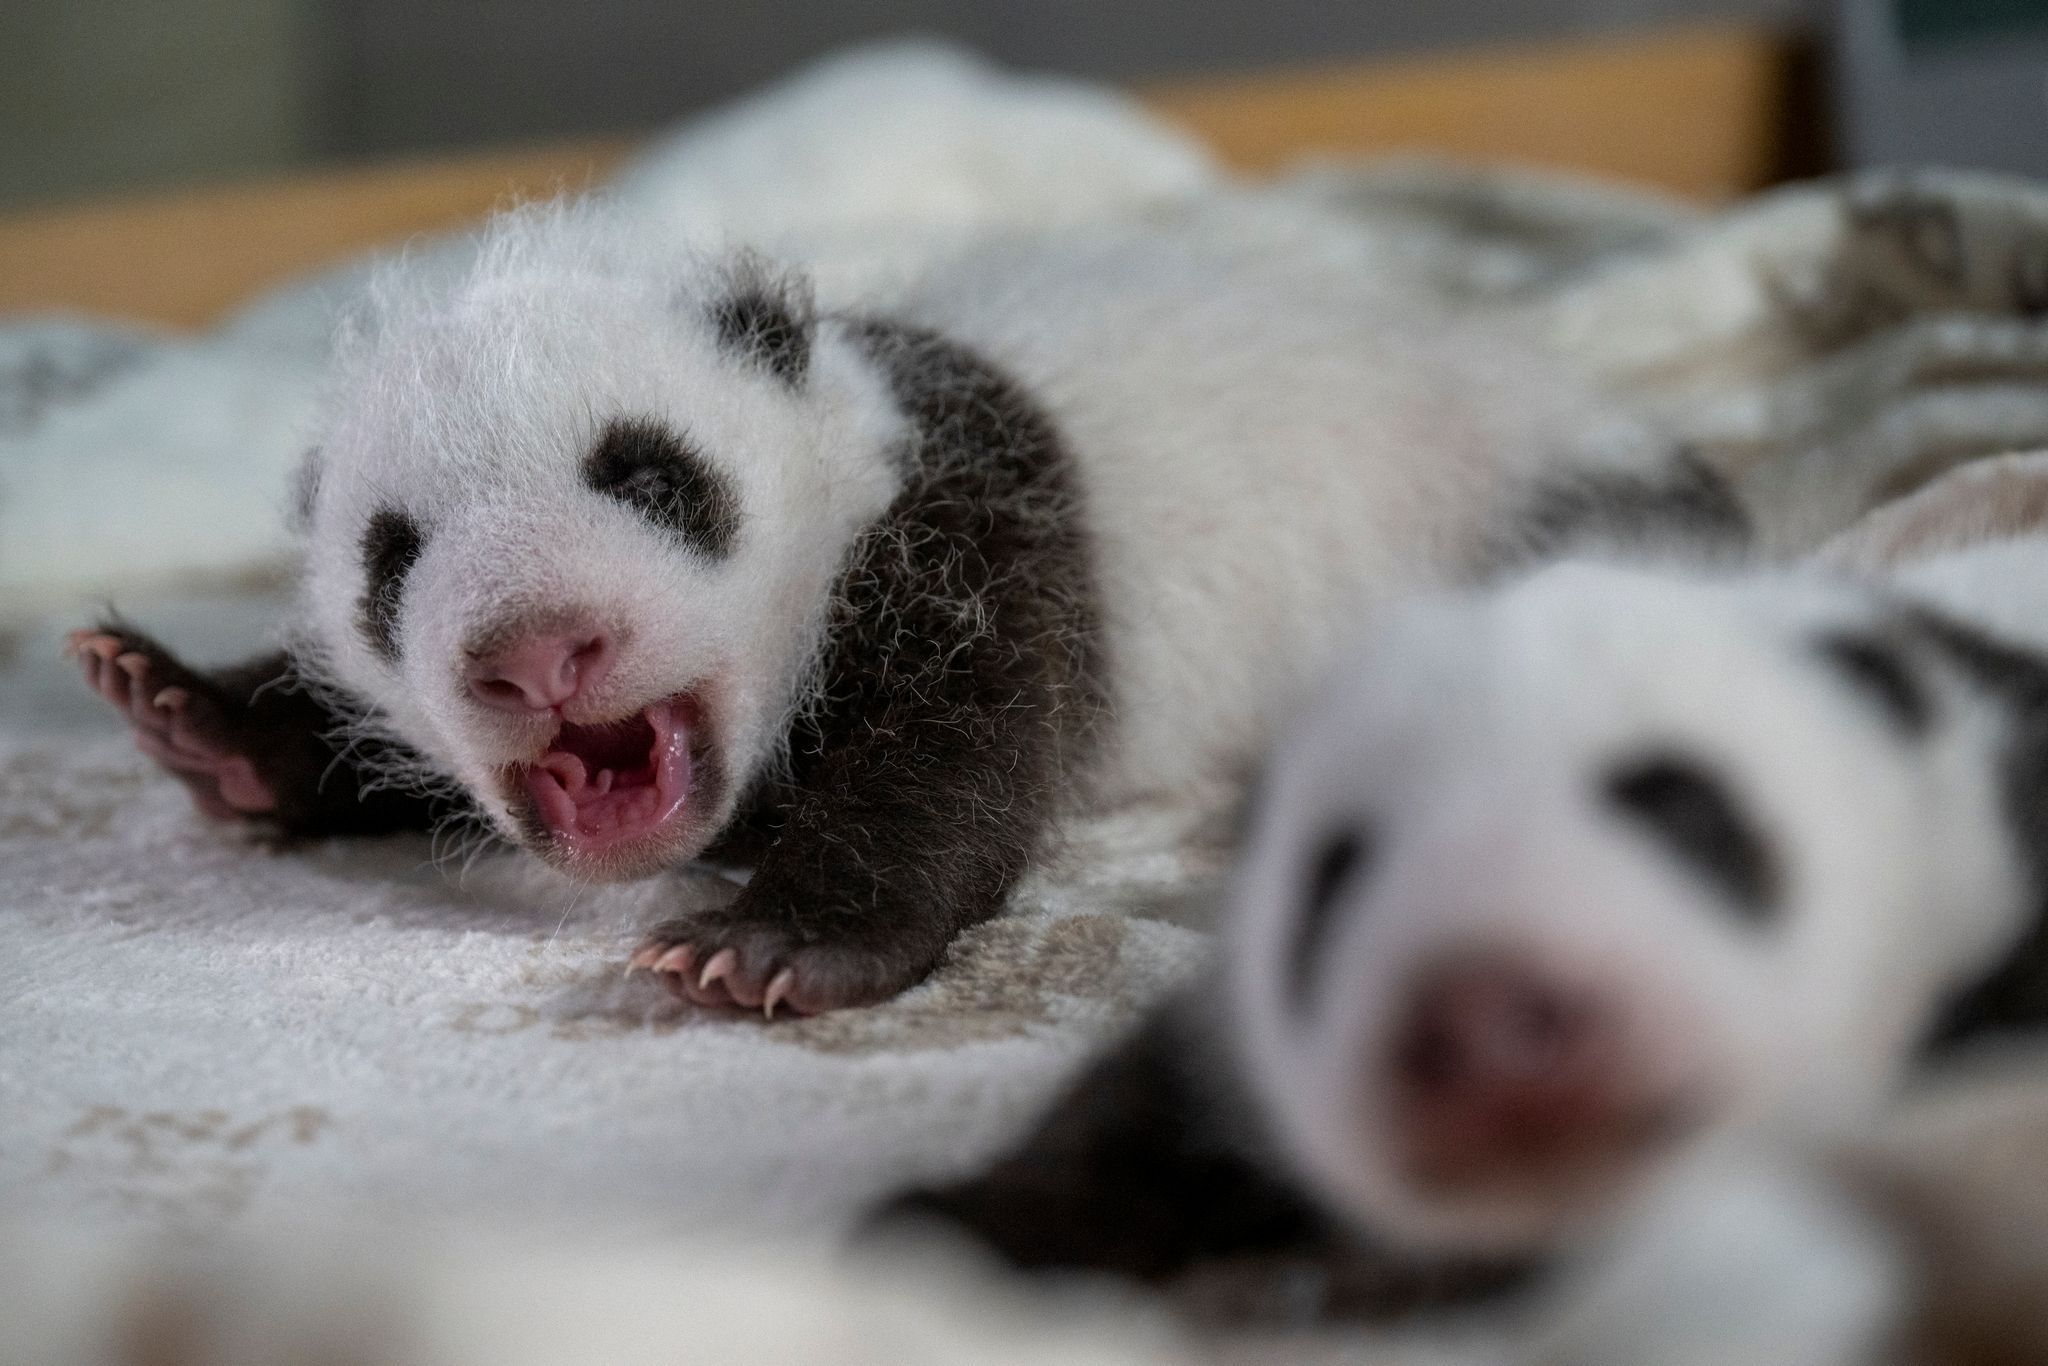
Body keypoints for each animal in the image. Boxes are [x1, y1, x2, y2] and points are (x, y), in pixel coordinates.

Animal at [68, 198, 1722, 1017]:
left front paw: (776, 943)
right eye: (391, 556)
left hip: (1493, 503)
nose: (537, 655)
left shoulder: (973, 522)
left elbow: (960, 746)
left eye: (650, 474)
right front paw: (192, 712)